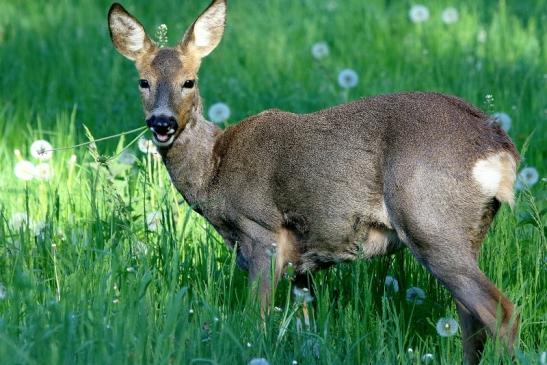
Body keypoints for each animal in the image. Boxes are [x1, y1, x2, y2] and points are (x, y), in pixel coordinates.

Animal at [108, 1, 524, 362]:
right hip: (466, 232)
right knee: (471, 317)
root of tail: (499, 147)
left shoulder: (261, 231)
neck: (214, 170)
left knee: (501, 312)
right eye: (143, 82)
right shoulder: (302, 264)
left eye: (189, 81)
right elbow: (306, 329)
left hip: (429, 221)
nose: (162, 123)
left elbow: (256, 321)